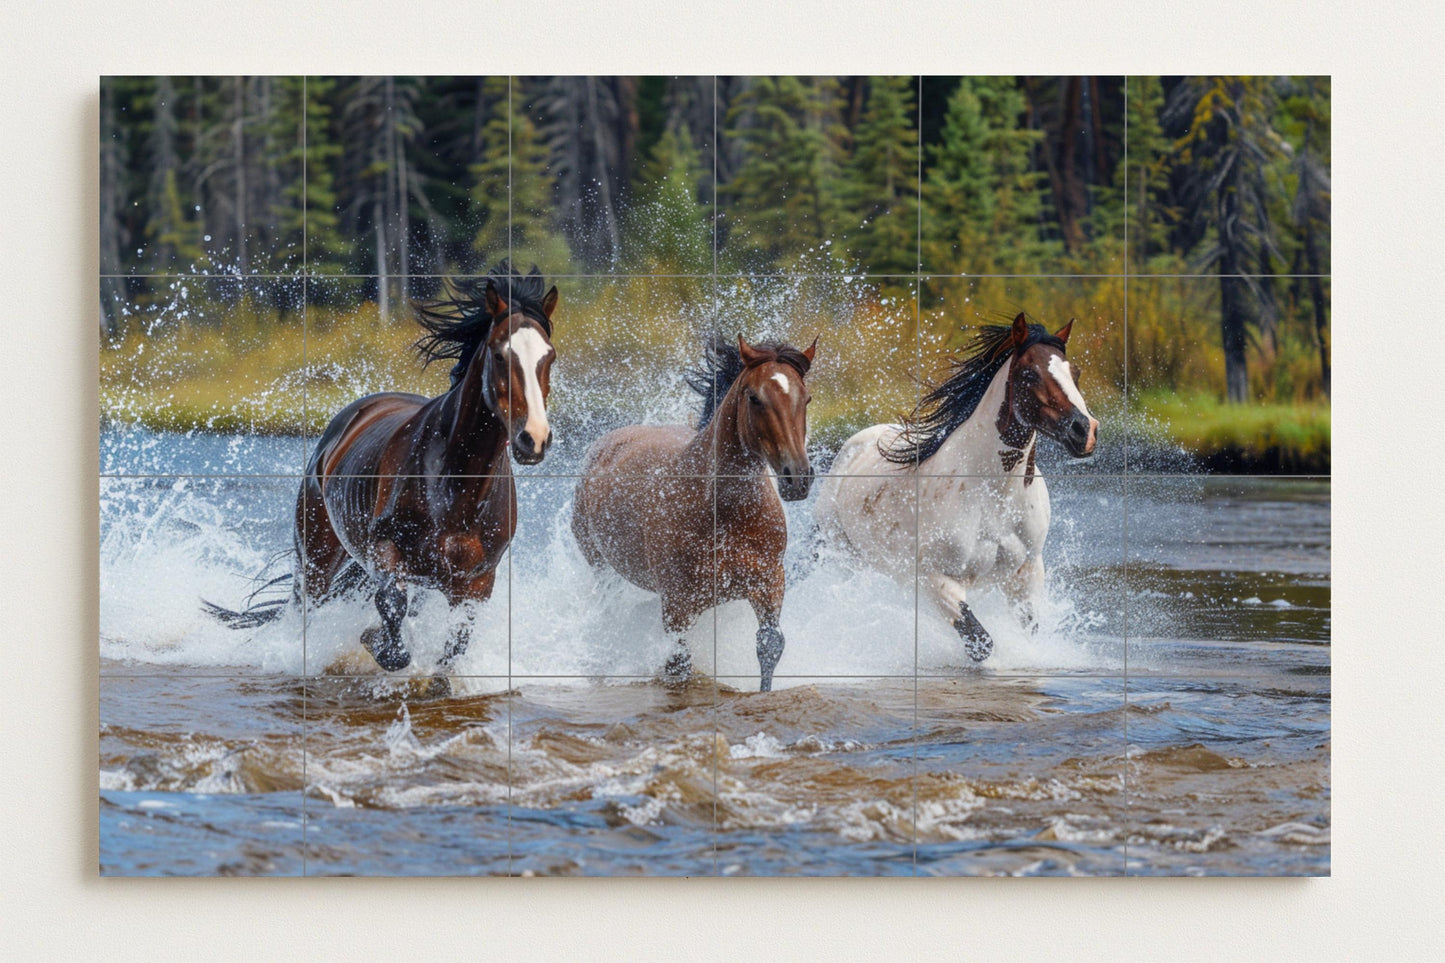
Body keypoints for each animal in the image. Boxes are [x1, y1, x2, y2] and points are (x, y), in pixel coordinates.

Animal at [205, 261, 559, 683]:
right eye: (501, 355)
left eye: (550, 357)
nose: (533, 438)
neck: (455, 485)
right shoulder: (387, 549)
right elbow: (390, 610)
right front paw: (376, 643)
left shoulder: (477, 581)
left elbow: (455, 642)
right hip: (316, 554)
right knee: (306, 605)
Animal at [570, 335, 817, 692]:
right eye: (754, 398)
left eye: (806, 398)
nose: (796, 478)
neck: (723, 512)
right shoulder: (678, 604)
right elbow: (678, 665)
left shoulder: (770, 582)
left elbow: (769, 645)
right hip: (602, 570)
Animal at [814, 312, 1097, 663]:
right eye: (1029, 373)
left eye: (1075, 373)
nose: (1084, 430)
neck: (993, 496)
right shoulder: (933, 578)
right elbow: (981, 643)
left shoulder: (1027, 572)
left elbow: (1028, 631)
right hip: (843, 556)